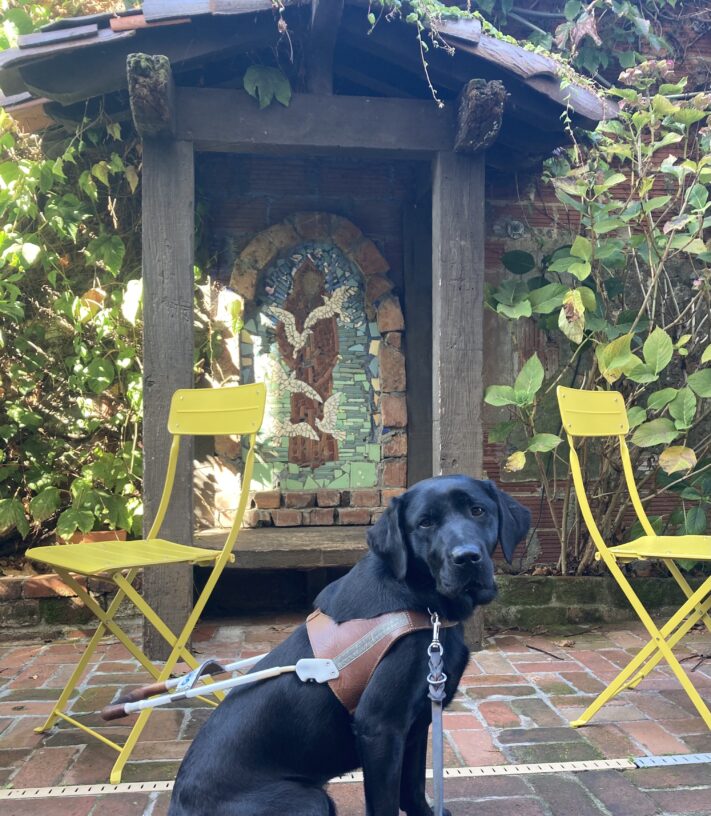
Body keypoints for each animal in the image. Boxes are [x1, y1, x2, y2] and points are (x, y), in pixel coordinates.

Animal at [170, 474, 532, 812]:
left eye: (478, 510)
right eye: (425, 522)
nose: (467, 557)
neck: (423, 605)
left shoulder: (416, 726)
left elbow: (413, 792)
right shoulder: (380, 726)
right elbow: (386, 804)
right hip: (309, 800)